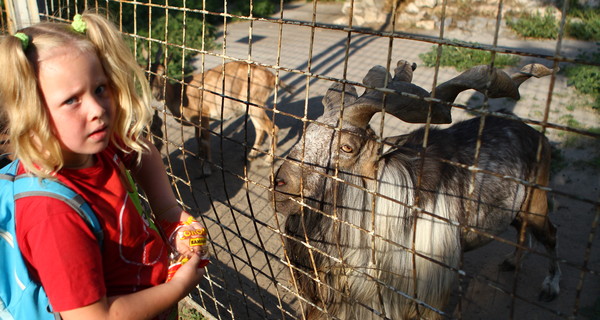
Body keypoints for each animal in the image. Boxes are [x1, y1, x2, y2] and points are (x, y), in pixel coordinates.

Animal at [148, 58, 292, 176]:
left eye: (163, 73)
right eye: (147, 75)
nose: (157, 94)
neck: (180, 94)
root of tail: (272, 77)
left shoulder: (204, 117)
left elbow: (205, 140)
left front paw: (207, 168)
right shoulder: (196, 122)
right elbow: (197, 138)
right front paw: (198, 156)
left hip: (256, 105)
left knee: (272, 128)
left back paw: (267, 162)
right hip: (252, 108)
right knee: (260, 128)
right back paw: (250, 156)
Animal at [274, 60, 560, 320]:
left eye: (347, 147)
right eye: (306, 132)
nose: (280, 183)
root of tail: (531, 131)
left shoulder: (427, 297)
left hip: (535, 204)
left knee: (549, 235)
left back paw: (550, 287)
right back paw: (512, 262)